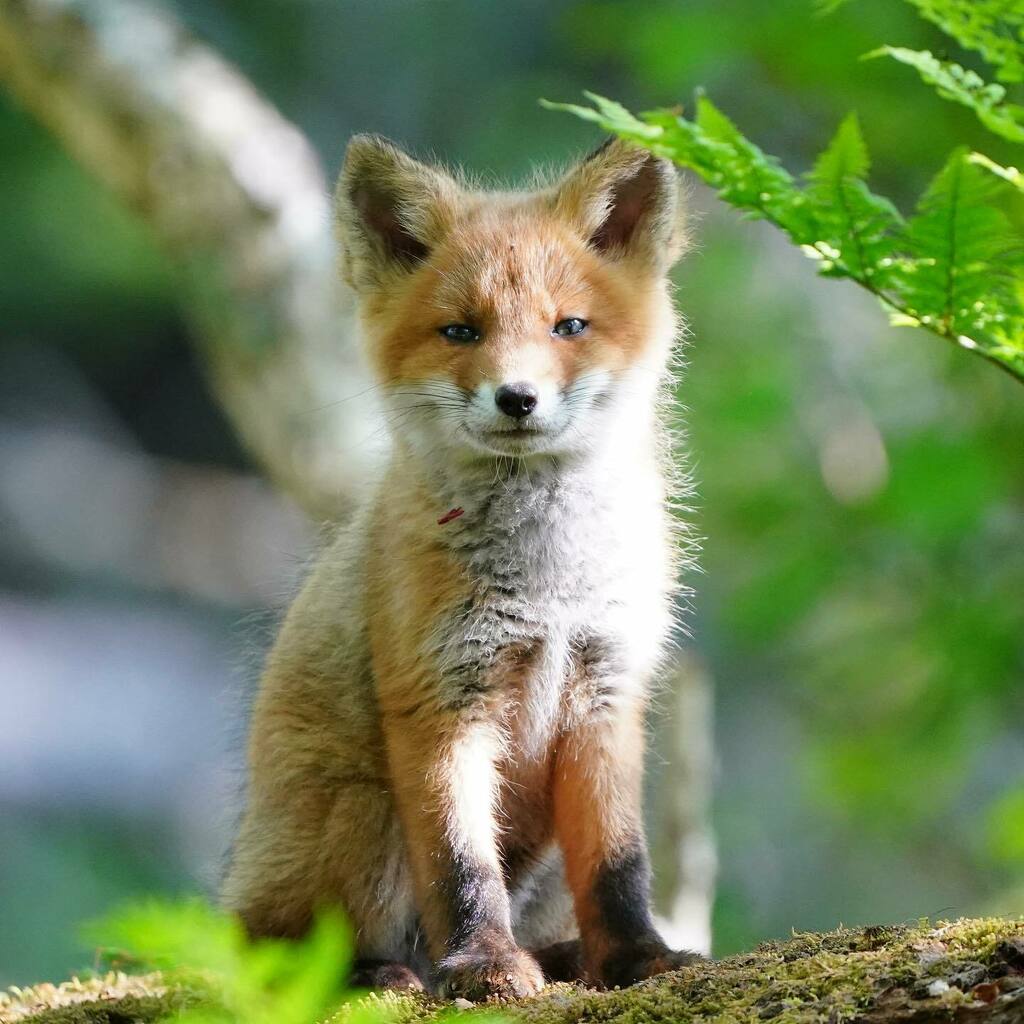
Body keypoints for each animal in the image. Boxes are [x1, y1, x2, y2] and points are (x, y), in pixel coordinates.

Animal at [221, 133, 699, 1000]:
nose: (517, 398)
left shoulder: (606, 693)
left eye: (568, 326)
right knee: (280, 951)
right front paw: (482, 964)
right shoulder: (439, 698)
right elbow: (459, 864)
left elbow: (619, 866)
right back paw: (379, 972)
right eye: (461, 332)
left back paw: (563, 956)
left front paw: (637, 958)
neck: (549, 585)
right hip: (362, 814)